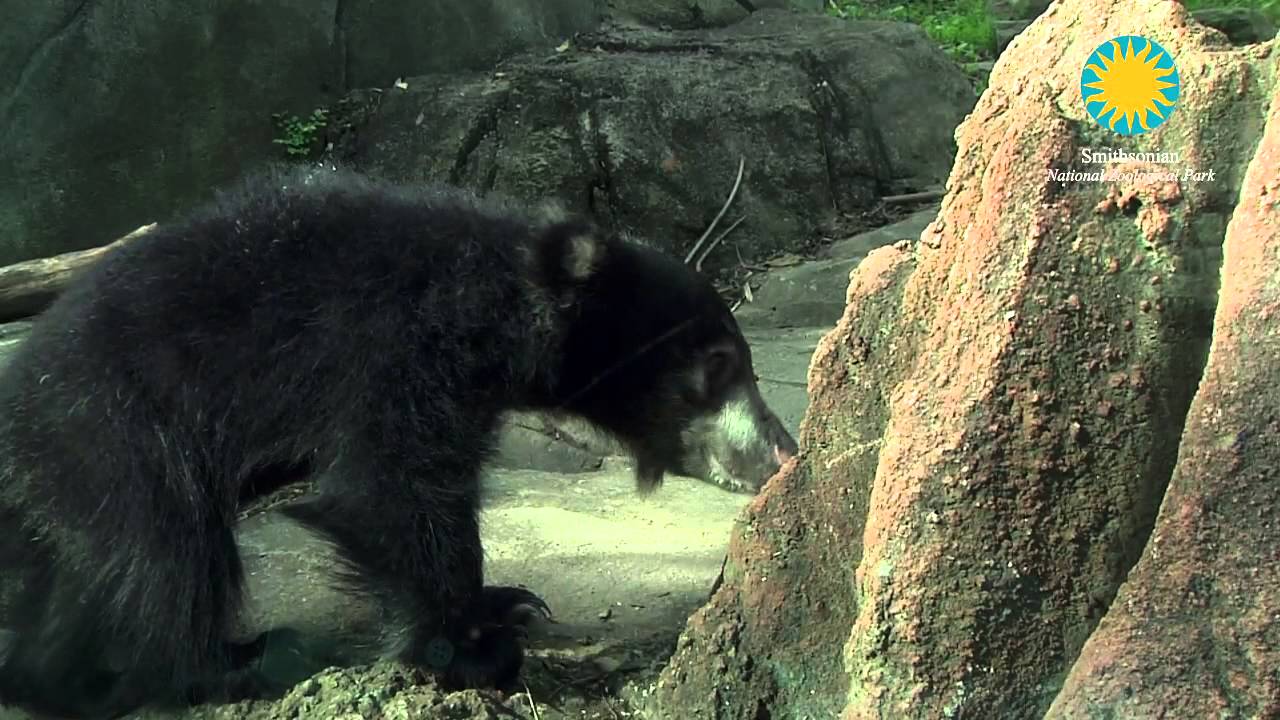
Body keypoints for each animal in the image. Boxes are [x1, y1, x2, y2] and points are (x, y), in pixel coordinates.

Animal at [0, 165, 798, 719]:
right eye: (718, 366)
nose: (783, 451)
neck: (506, 293)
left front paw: (507, 603)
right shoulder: (397, 345)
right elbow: (390, 486)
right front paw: (471, 652)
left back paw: (55, 676)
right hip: (114, 430)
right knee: (164, 553)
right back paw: (233, 661)